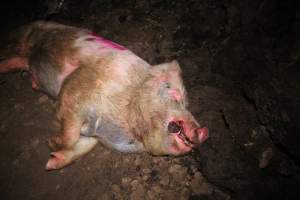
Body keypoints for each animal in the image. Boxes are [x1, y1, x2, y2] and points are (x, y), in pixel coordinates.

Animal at [0, 21, 209, 170]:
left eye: (187, 103)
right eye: (175, 94)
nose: (204, 130)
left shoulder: (94, 136)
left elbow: (81, 145)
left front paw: (51, 163)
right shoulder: (74, 93)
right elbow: (69, 134)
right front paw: (51, 144)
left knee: (19, 61)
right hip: (25, 37)